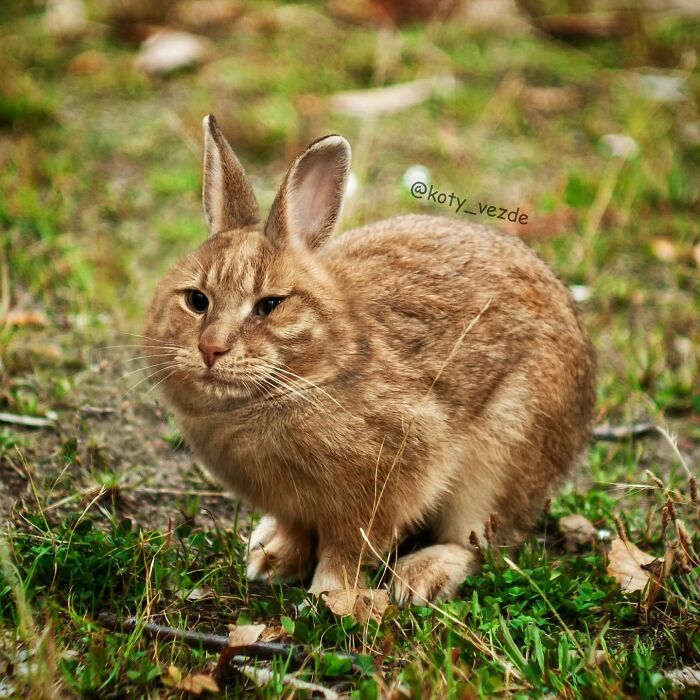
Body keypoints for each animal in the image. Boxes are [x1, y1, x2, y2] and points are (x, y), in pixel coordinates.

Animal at [143, 115, 595, 605]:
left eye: (270, 305)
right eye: (196, 300)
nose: (211, 349)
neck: (314, 372)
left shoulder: (384, 484)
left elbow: (350, 548)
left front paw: (332, 596)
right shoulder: (294, 507)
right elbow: (298, 530)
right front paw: (273, 562)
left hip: (501, 460)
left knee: (481, 543)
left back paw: (420, 578)